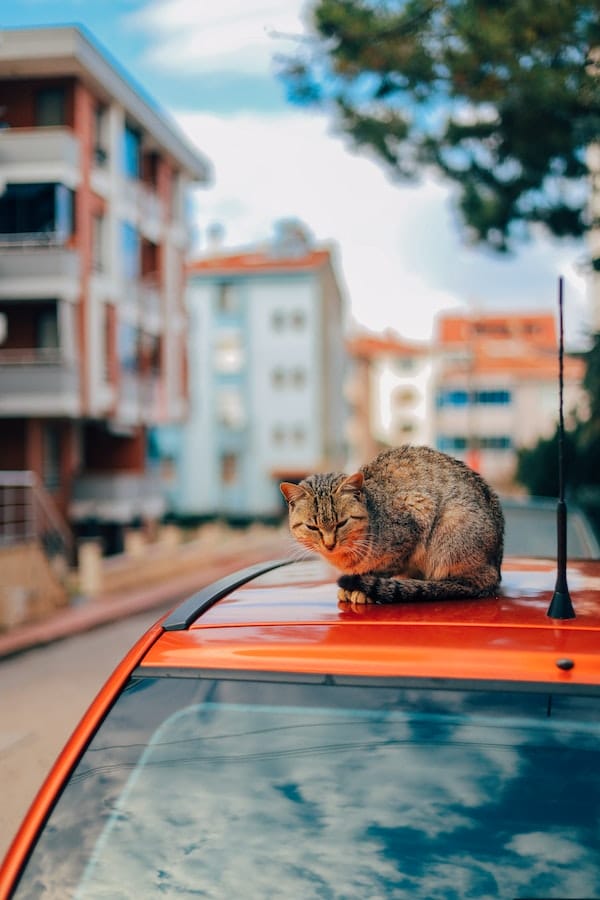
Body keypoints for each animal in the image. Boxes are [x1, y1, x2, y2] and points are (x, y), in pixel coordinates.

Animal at [278, 444, 504, 604]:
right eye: (312, 527)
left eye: (342, 523)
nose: (329, 544)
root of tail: (496, 569)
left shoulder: (417, 512)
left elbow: (386, 567)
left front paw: (362, 590)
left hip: (452, 529)